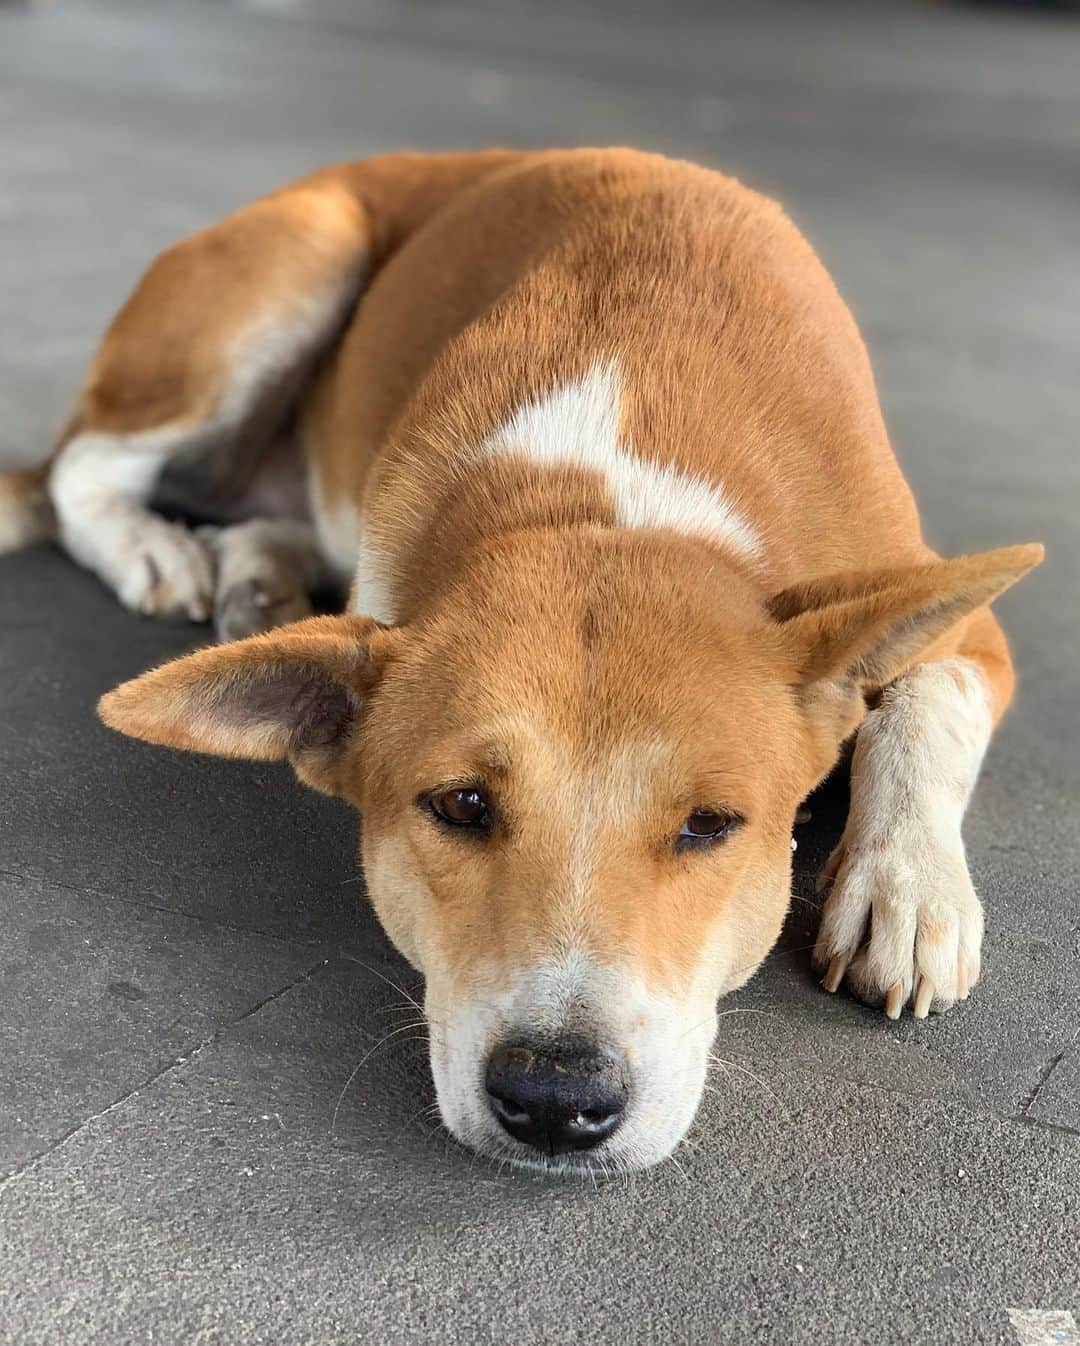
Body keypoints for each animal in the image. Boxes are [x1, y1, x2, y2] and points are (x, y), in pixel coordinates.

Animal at [2, 152, 1044, 1173]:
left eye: (711, 824)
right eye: (461, 805)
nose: (554, 1100)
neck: (608, 499)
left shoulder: (966, 632)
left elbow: (928, 704)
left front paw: (906, 883)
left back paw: (257, 580)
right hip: (295, 258)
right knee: (78, 471)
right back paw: (151, 547)